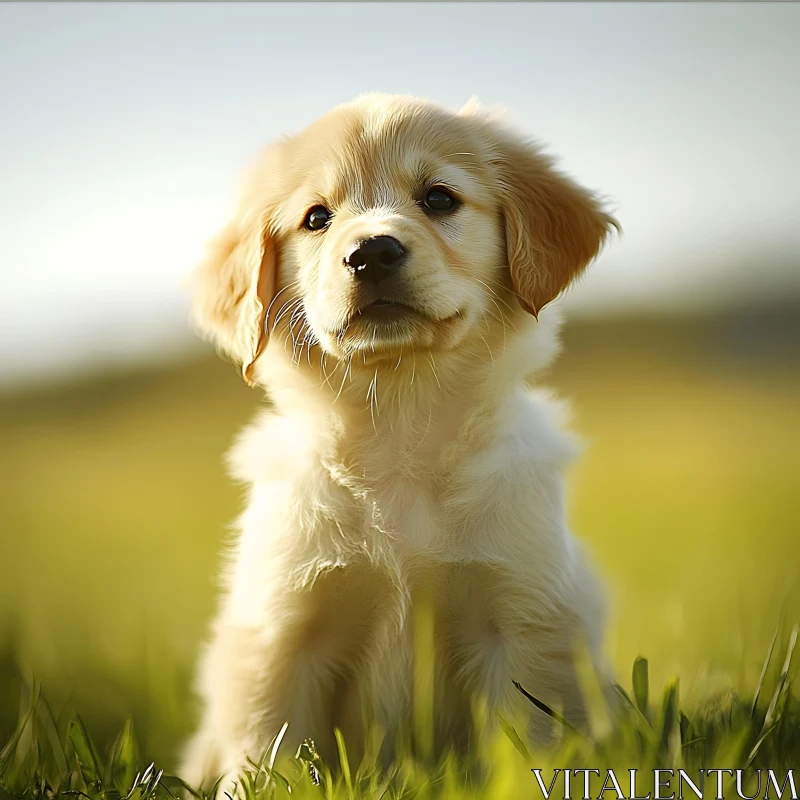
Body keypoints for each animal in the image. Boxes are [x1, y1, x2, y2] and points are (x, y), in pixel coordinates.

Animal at [183, 92, 620, 788]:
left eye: (439, 198)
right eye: (316, 218)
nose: (371, 253)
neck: (399, 430)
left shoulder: (524, 618)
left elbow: (534, 743)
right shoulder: (281, 630)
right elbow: (269, 755)